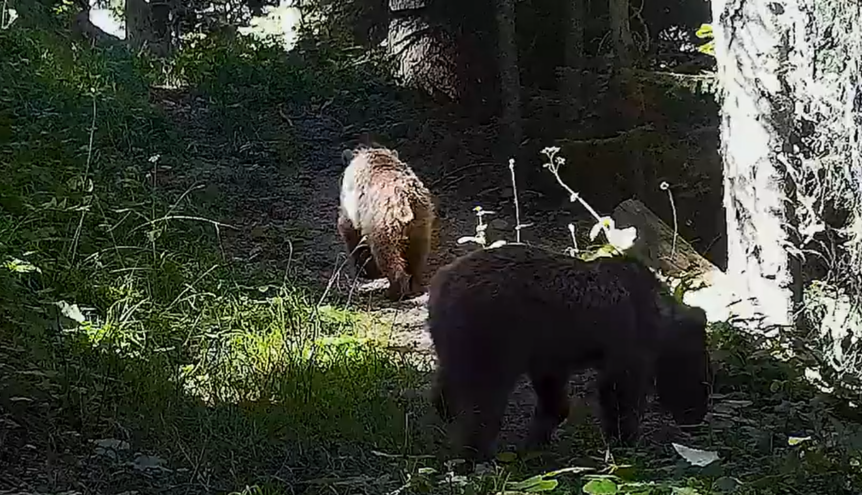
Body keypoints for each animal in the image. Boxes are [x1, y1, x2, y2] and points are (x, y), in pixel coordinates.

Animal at [334, 145, 436, 300]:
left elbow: (350, 232)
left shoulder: (354, 208)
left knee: (386, 254)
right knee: (417, 255)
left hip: (384, 223)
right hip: (421, 222)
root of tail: (406, 197)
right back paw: (415, 284)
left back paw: (394, 290)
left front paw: (362, 270)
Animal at [428, 245, 712, 468]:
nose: (696, 418)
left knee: (448, 386)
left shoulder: (550, 355)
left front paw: (537, 442)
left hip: (458, 345)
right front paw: (625, 442)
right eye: (700, 375)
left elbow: (554, 400)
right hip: (493, 344)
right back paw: (477, 455)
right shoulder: (627, 352)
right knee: (483, 406)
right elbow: (619, 397)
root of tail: (442, 284)